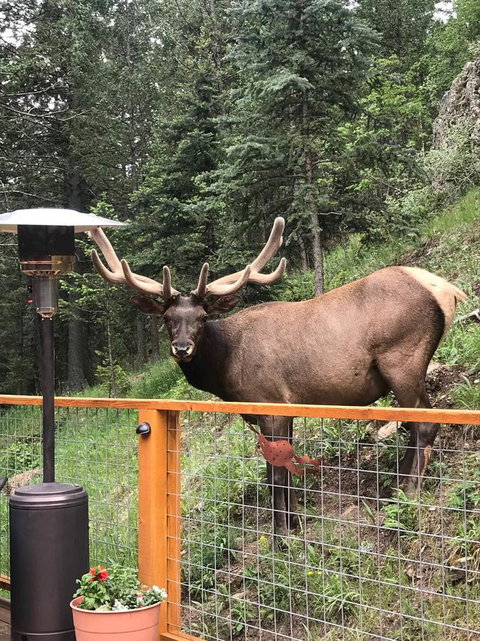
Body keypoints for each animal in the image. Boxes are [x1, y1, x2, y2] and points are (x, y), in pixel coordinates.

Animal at [89, 218, 466, 537]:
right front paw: (295, 523)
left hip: (402, 358)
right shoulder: (288, 408)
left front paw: (280, 536)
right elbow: (288, 465)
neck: (226, 366)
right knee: (415, 424)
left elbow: (275, 476)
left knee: (425, 423)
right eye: (167, 318)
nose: (182, 348)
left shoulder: (268, 402)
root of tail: (448, 289)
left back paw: (408, 492)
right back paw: (394, 487)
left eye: (202, 317)